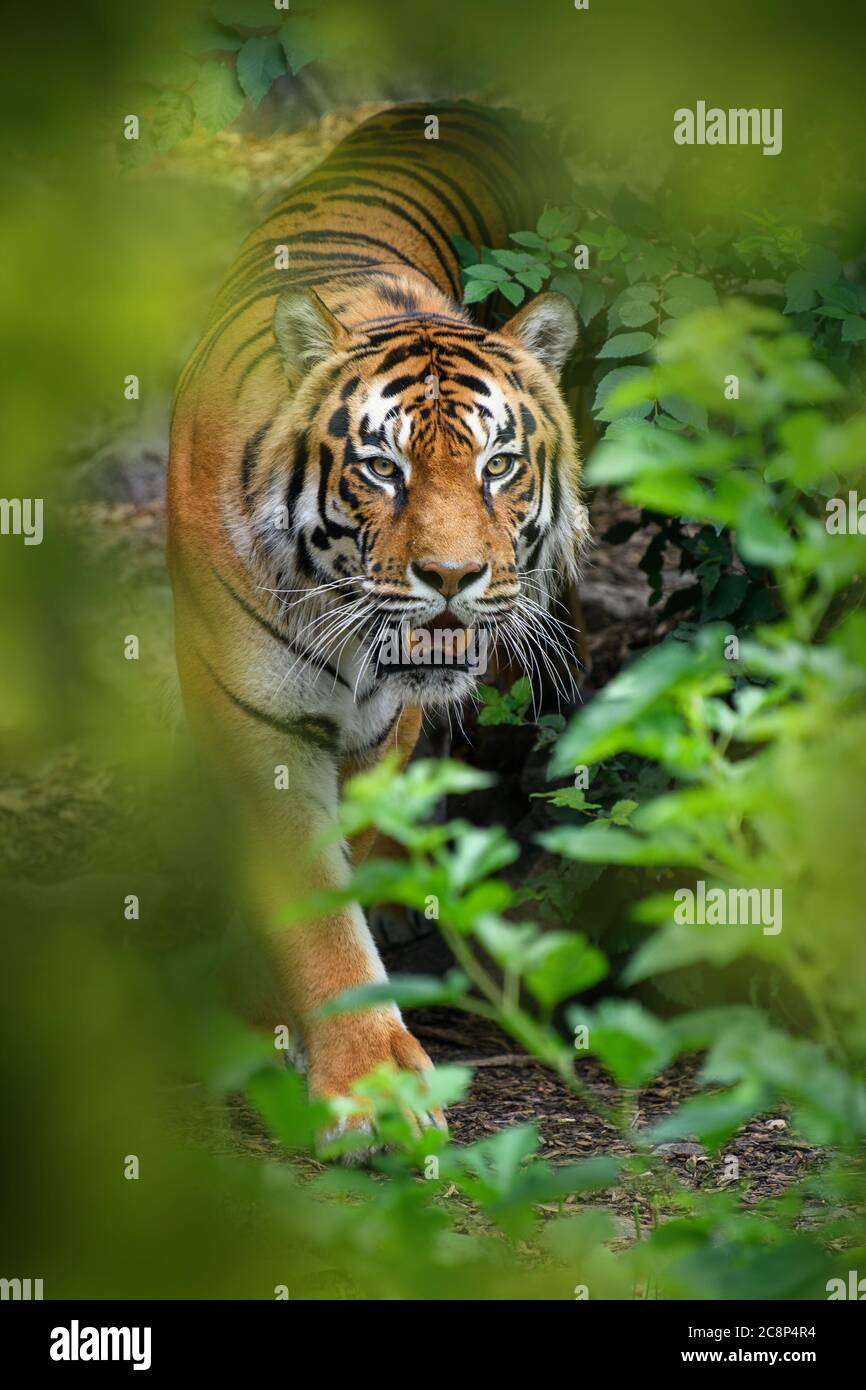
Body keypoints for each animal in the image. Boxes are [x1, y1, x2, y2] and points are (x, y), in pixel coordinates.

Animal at [167, 95, 589, 1139]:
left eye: (497, 466)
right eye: (382, 469)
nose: (453, 576)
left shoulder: (373, 726)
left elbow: (337, 869)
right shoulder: (256, 718)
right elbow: (312, 903)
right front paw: (366, 1084)